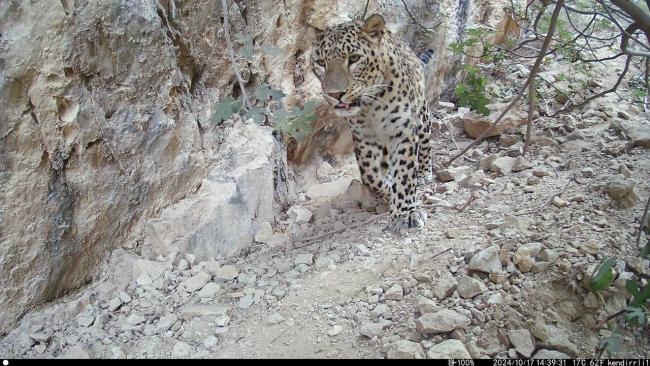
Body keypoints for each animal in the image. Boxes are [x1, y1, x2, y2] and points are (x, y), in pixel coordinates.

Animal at [308, 14, 430, 232]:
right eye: (321, 62)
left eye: (354, 58)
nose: (335, 94)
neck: (372, 105)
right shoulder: (363, 136)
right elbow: (370, 175)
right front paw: (386, 190)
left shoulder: (403, 129)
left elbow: (404, 172)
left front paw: (406, 211)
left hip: (422, 114)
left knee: (425, 142)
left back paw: (423, 172)